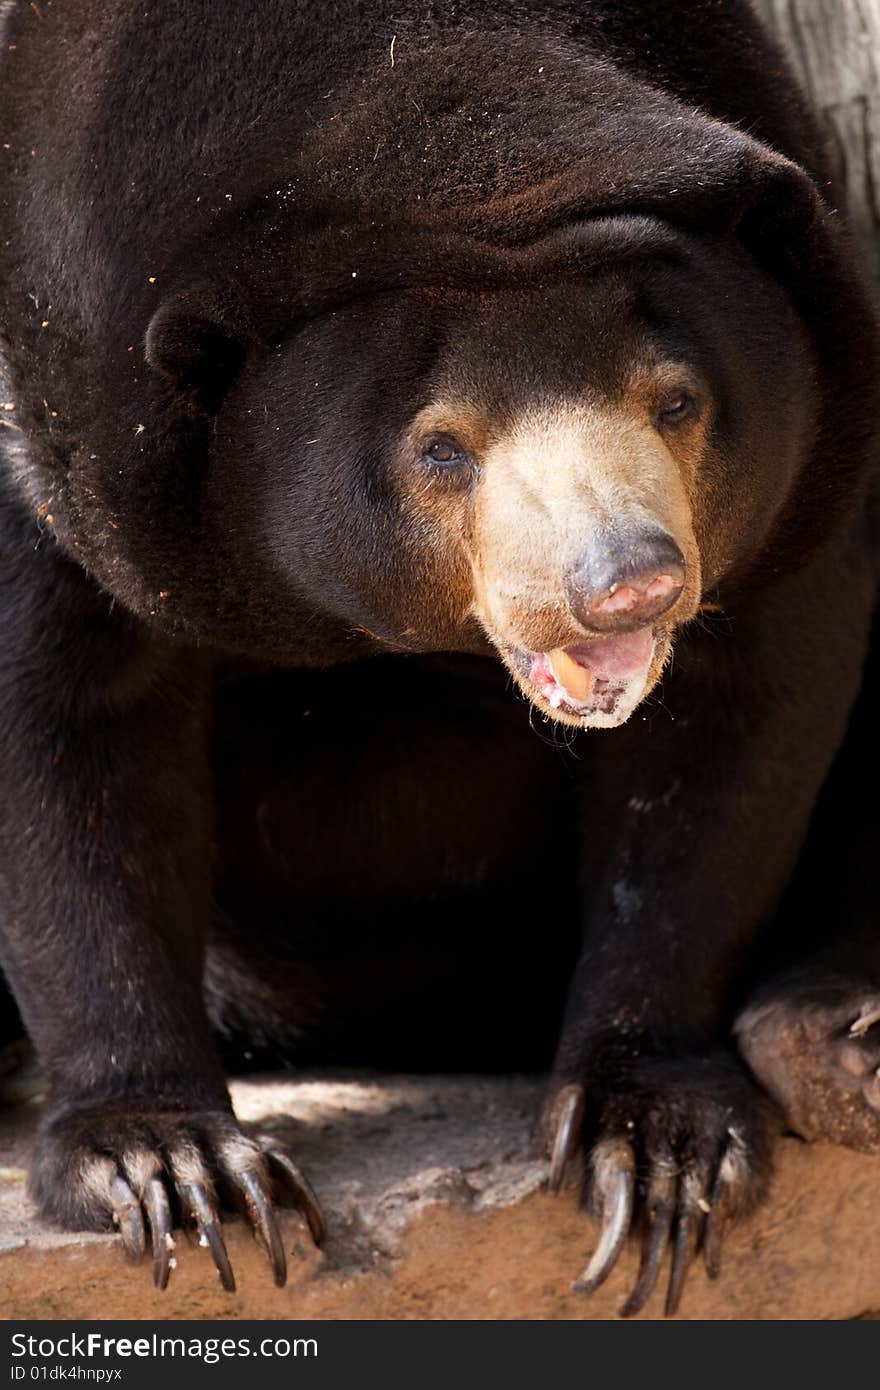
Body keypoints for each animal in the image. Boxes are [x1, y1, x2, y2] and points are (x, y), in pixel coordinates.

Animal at [0, 0, 873, 1312]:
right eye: (439, 448)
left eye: (676, 400)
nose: (631, 579)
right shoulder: (58, 414)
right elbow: (62, 728)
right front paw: (173, 1168)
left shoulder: (817, 420)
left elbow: (734, 733)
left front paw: (653, 1143)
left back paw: (830, 1024)